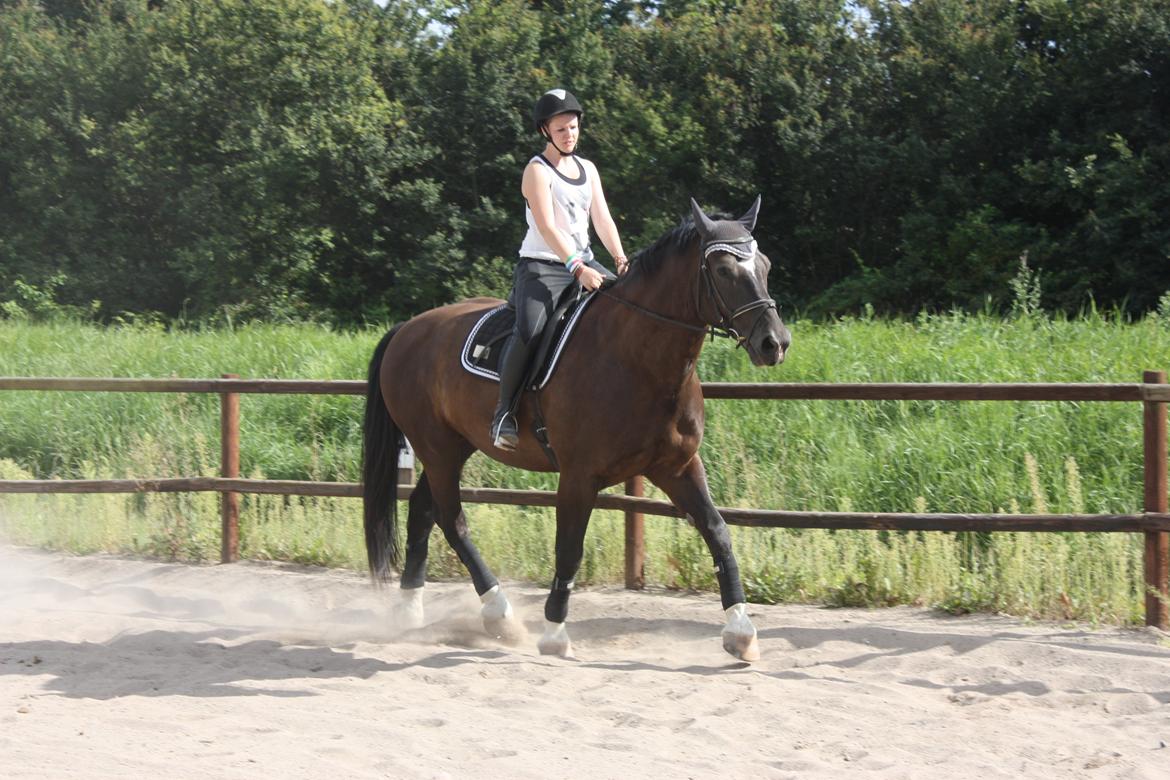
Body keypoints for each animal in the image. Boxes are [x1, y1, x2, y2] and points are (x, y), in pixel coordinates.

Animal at [360, 198, 790, 664]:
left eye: (765, 265)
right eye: (725, 271)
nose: (775, 343)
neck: (639, 359)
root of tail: (408, 328)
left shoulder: (677, 467)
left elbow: (718, 532)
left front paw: (741, 631)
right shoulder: (579, 476)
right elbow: (569, 549)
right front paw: (554, 632)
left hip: (452, 448)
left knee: (424, 511)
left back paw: (410, 611)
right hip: (436, 448)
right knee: (452, 521)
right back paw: (500, 614)